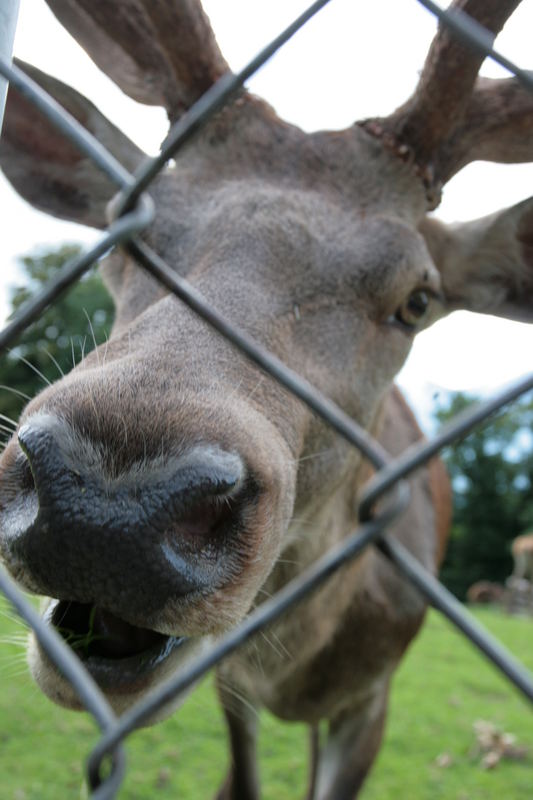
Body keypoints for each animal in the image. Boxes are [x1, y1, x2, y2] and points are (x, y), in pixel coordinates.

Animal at [0, 1, 528, 800]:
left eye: (417, 299)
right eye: (127, 234)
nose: (107, 505)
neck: (299, 661)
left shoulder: (374, 695)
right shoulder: (231, 684)